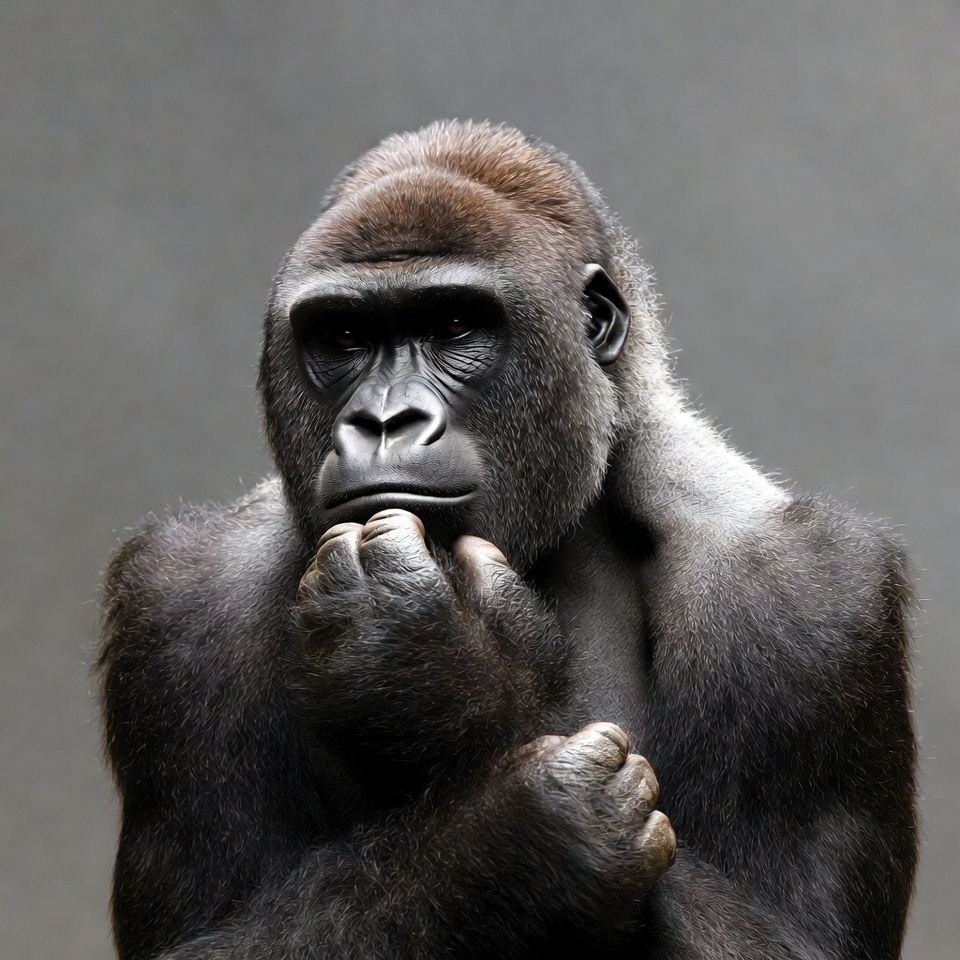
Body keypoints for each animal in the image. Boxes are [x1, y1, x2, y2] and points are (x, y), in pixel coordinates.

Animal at [98, 120, 917, 960]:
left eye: (456, 326)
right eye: (346, 336)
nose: (385, 422)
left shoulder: (810, 598)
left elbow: (792, 939)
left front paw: (443, 670)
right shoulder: (178, 601)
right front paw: (527, 841)